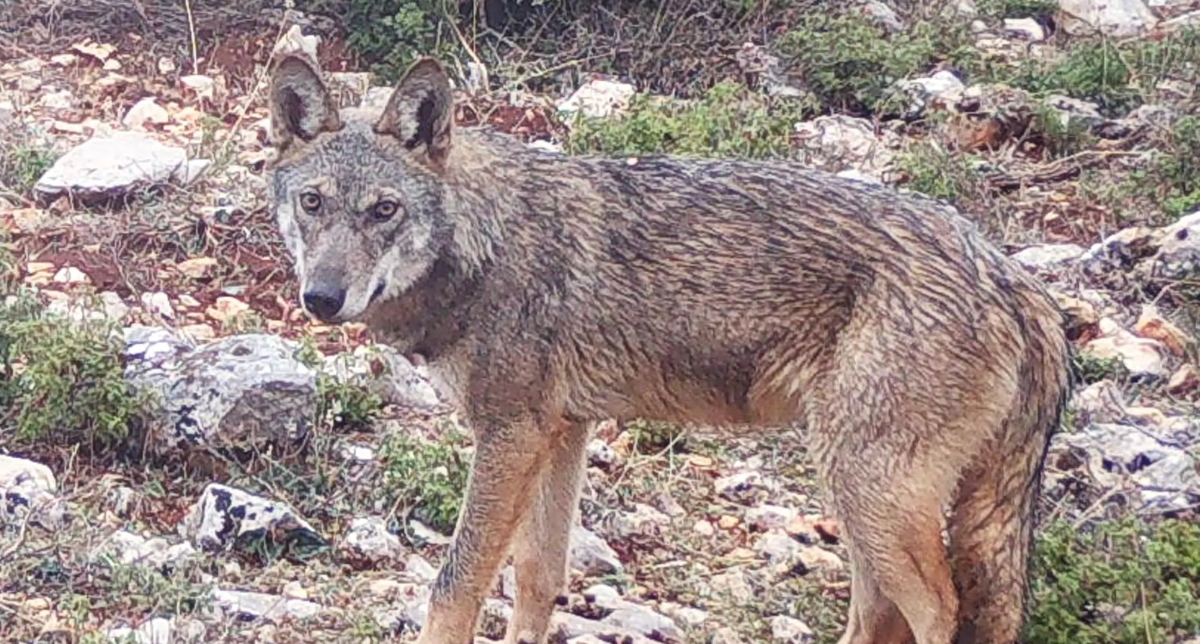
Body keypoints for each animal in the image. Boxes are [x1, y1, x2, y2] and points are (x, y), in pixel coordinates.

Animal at [265, 51, 1072, 644]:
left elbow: (454, 586)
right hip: (863, 498)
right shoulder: (562, 433)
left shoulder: (510, 435)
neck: (481, 245)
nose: (322, 298)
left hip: (869, 490)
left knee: (939, 609)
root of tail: (1015, 280)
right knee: (883, 618)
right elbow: (538, 578)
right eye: (313, 203)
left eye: (384, 211)